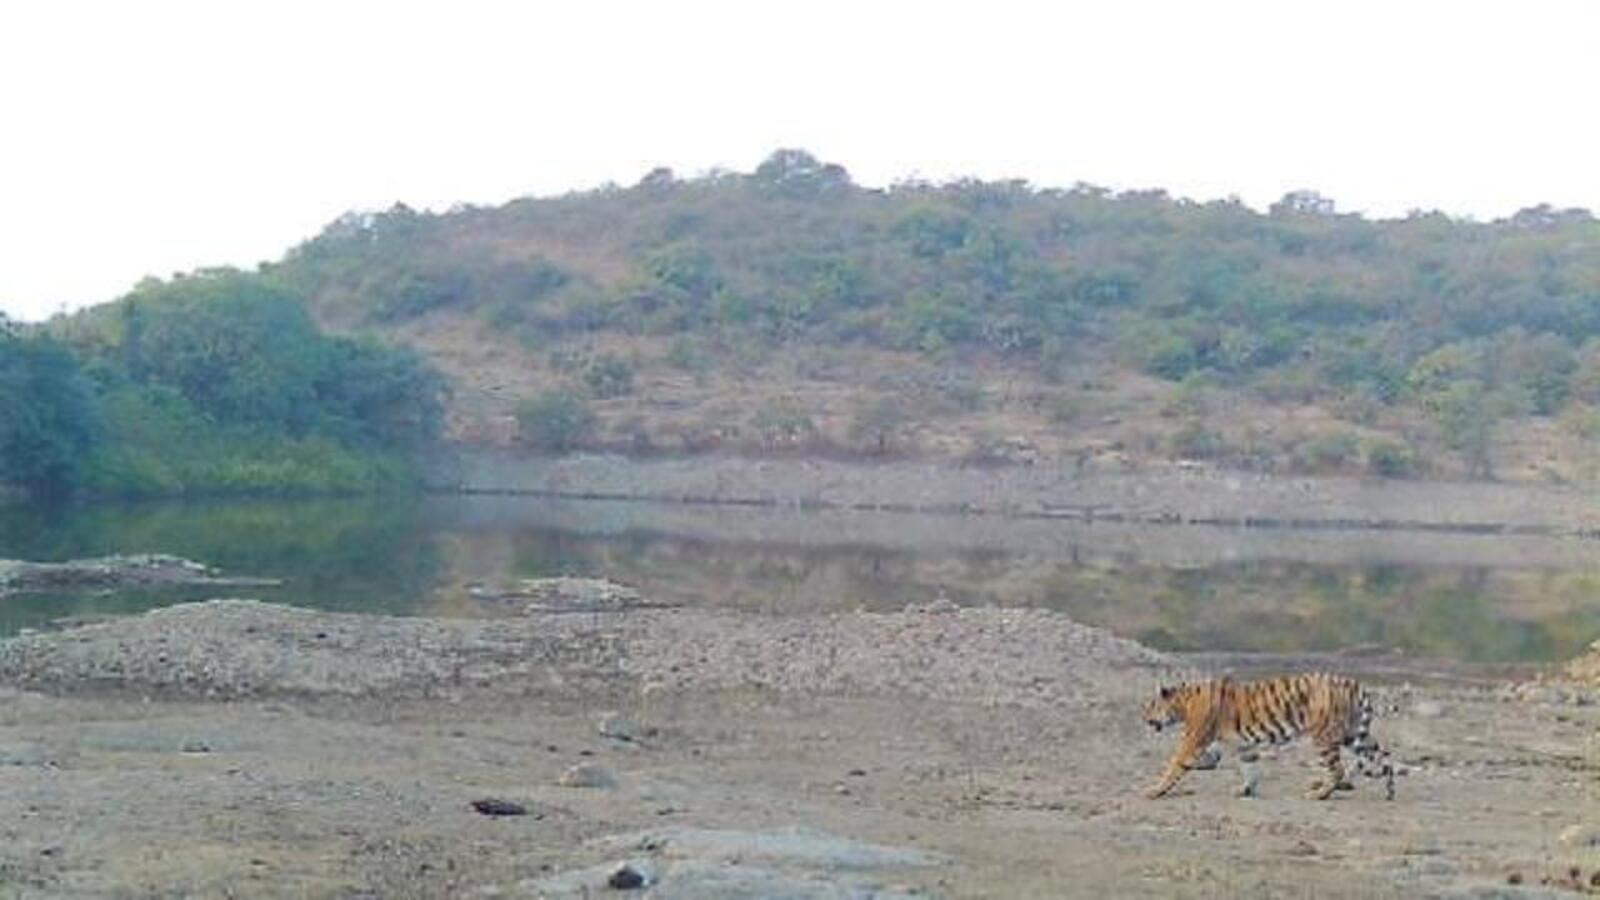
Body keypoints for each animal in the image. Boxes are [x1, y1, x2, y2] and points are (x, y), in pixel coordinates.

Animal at [1142, 672, 1395, 801]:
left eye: (1151, 706)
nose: (1144, 719)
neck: (1182, 703)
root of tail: (1352, 683)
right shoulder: (1245, 746)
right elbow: (1250, 769)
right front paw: (1245, 790)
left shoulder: (1192, 740)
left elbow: (1174, 765)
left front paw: (1155, 790)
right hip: (1353, 735)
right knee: (1383, 755)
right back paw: (1390, 790)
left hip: (1324, 737)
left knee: (1338, 769)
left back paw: (1318, 793)